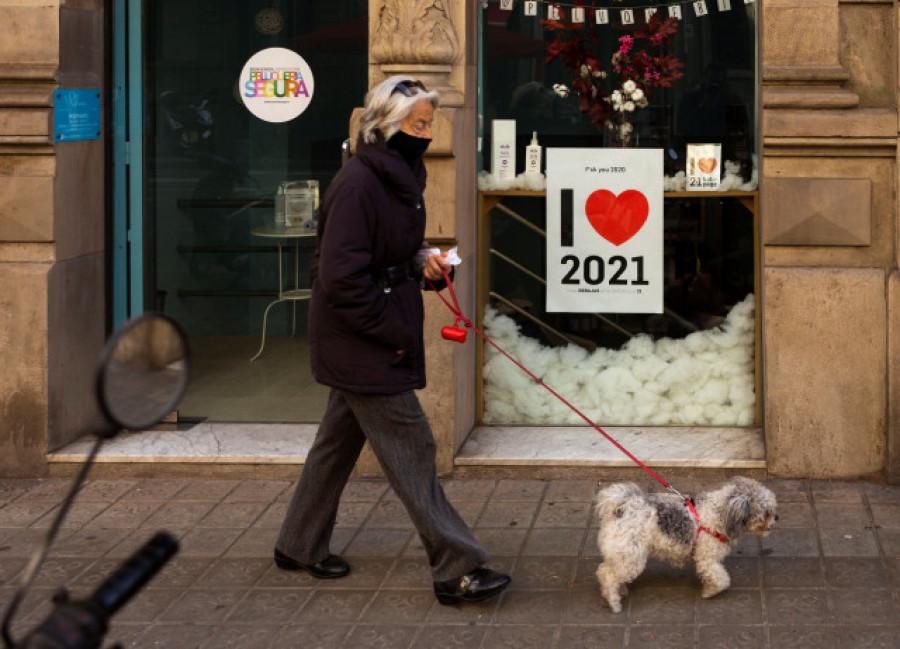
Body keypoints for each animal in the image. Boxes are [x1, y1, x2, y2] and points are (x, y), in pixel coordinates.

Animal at [596, 476, 776, 612]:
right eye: (767, 512)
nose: (777, 517)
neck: (720, 514)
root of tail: (621, 508)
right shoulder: (706, 560)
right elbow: (722, 579)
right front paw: (709, 592)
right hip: (631, 558)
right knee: (607, 574)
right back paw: (614, 602)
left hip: (624, 556)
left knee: (605, 570)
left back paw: (620, 591)